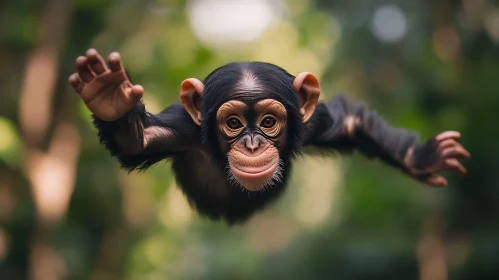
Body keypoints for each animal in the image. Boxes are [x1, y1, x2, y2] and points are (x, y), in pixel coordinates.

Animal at [68, 47, 470, 223]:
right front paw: (109, 96)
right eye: (233, 123)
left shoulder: (311, 122)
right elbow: (136, 142)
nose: (252, 142)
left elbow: (353, 123)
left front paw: (422, 158)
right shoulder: (183, 130)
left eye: (268, 122)